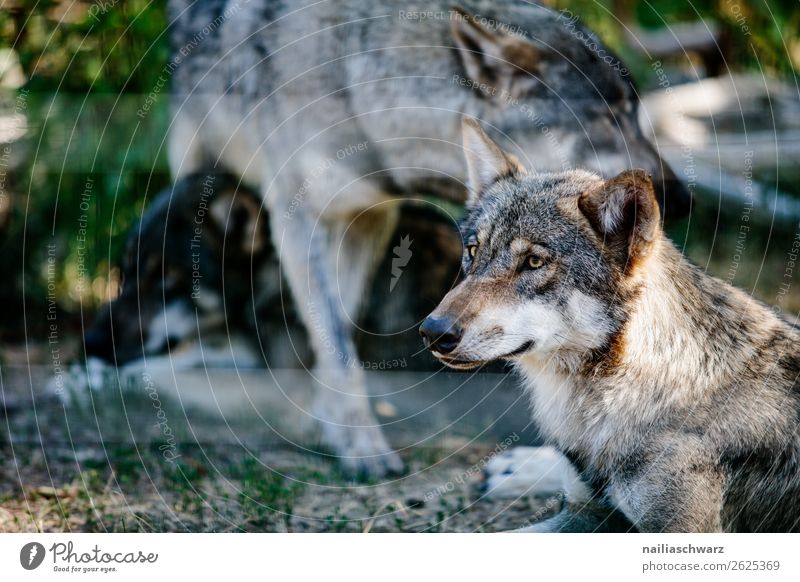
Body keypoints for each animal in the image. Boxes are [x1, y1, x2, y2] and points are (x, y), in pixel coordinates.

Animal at [162, 0, 688, 480]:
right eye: (607, 114)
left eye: (636, 114)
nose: (682, 198)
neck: (359, 94)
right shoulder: (300, 220)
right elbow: (336, 344)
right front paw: (360, 448)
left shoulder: (370, 218)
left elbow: (340, 329)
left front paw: (328, 423)